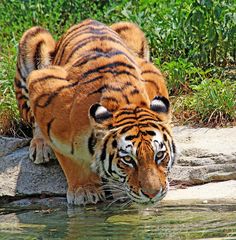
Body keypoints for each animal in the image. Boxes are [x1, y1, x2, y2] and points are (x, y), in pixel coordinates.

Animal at [14, 19, 176, 205]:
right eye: (128, 159)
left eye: (160, 155)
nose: (153, 194)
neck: (124, 102)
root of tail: (86, 20)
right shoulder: (43, 85)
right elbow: (70, 159)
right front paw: (84, 191)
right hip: (33, 38)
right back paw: (40, 147)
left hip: (131, 29)